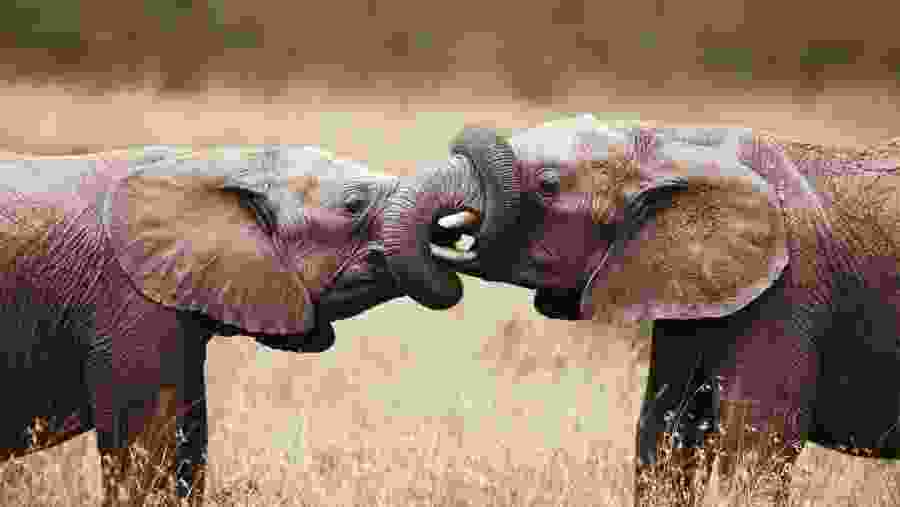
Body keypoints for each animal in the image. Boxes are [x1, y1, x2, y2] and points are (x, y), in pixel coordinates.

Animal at [0, 139, 516, 506]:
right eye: (354, 204)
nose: (458, 232)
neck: (210, 163)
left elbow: (185, 449)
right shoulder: (129, 302)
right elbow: (149, 462)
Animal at [417, 115, 900, 505]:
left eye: (548, 185)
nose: (446, 236)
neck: (672, 144)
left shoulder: (789, 292)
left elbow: (756, 450)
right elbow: (666, 434)